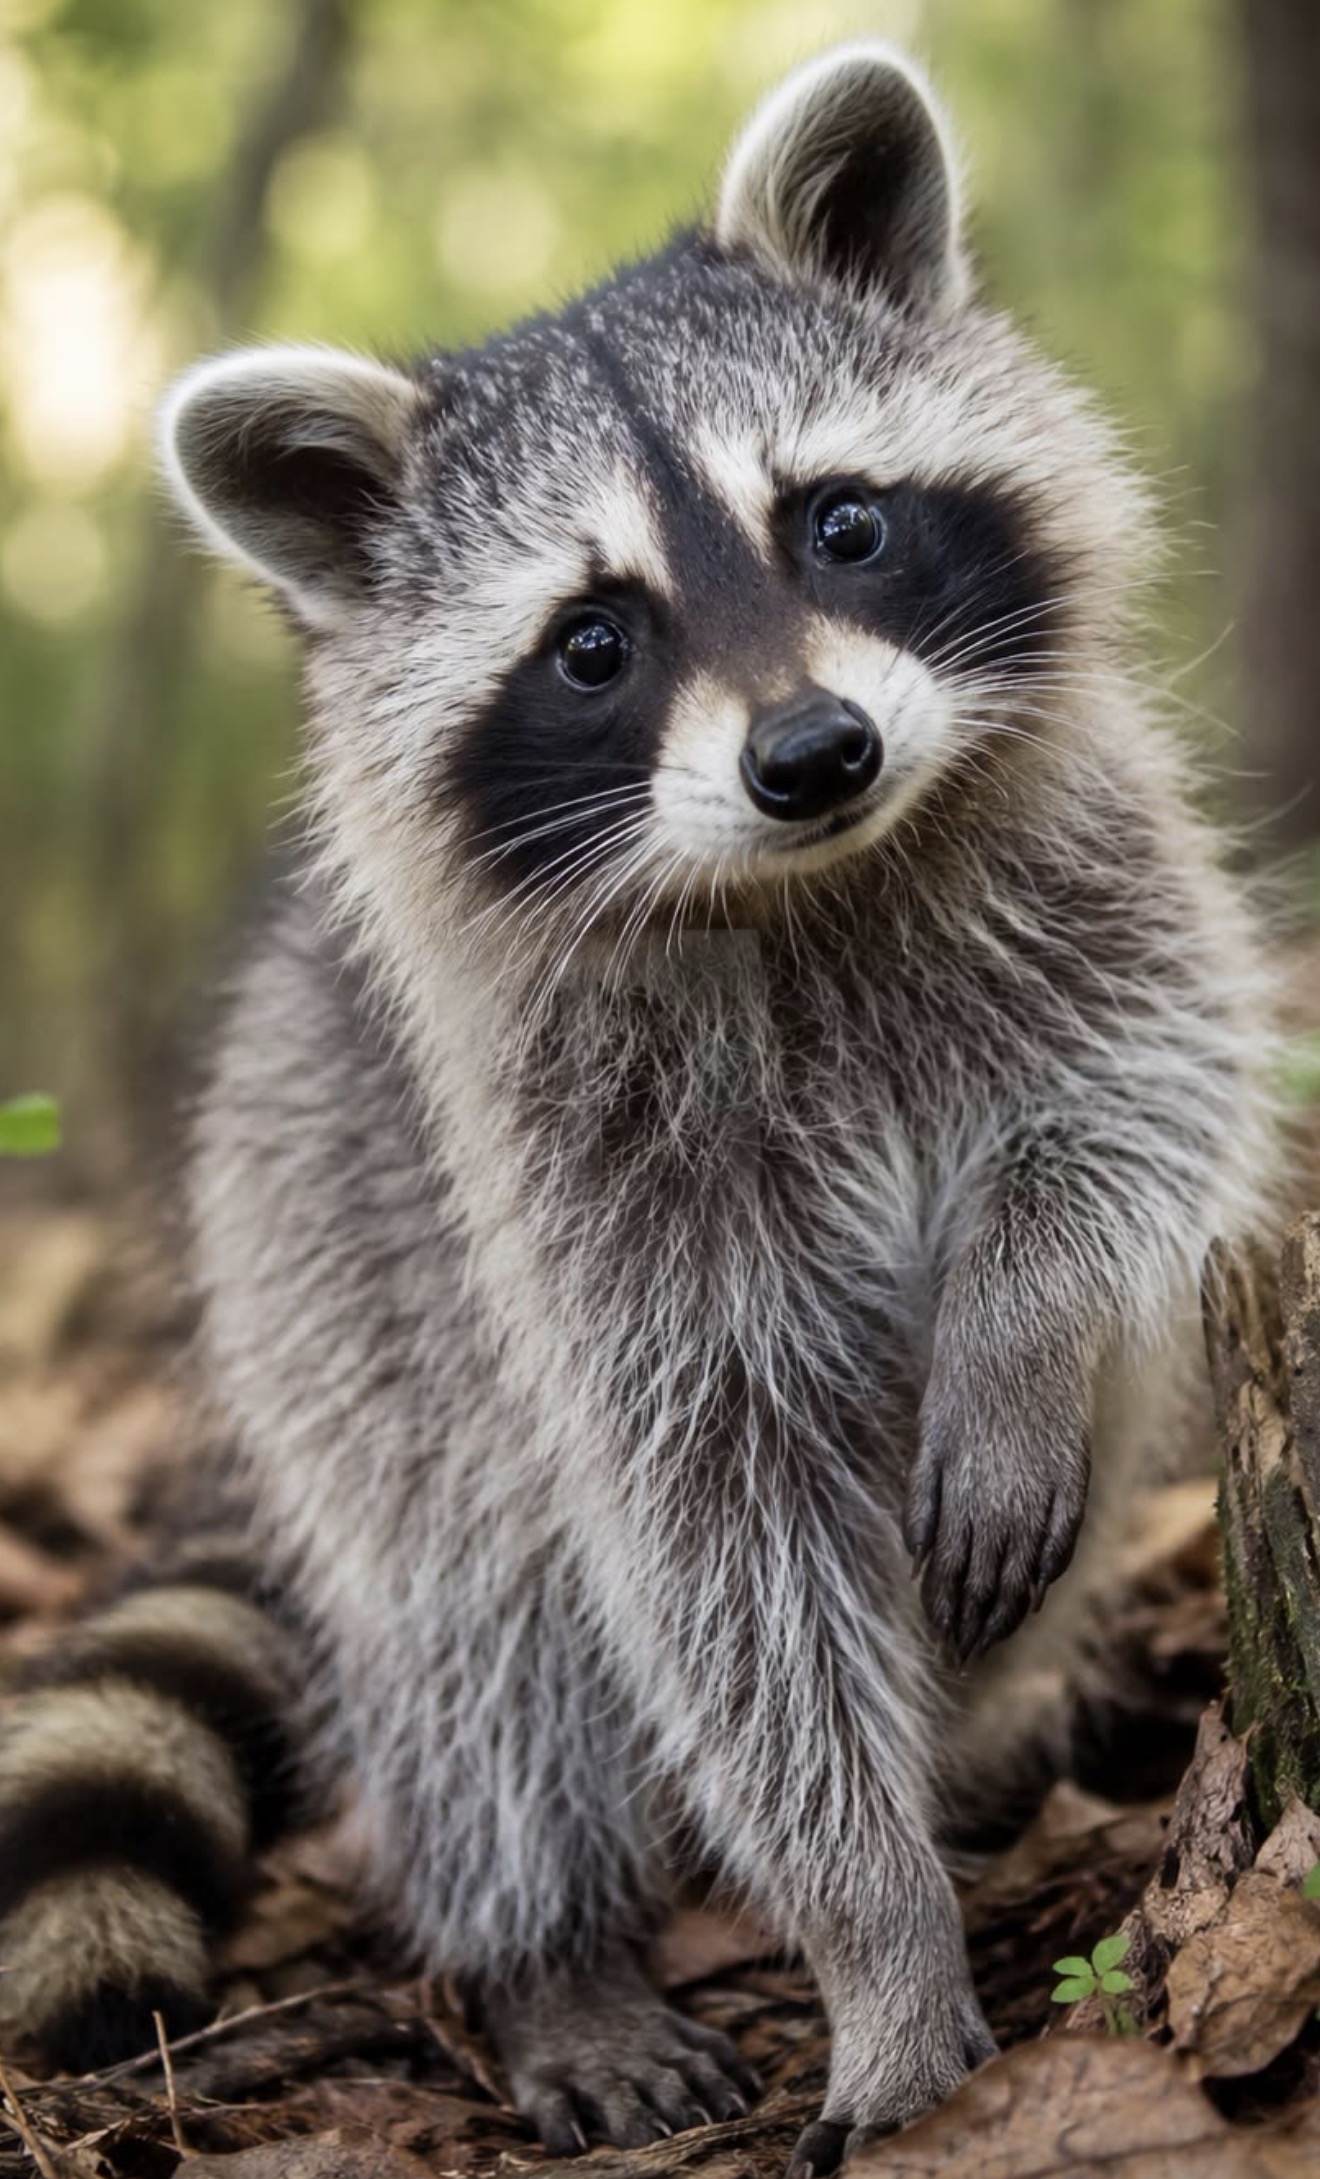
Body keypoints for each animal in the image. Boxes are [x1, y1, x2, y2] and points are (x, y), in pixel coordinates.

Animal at [0, 43, 1276, 2173]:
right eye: (592, 640)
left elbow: (1145, 1107)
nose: (815, 751)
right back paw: (552, 1939)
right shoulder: (577, 1184)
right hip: (328, 1257)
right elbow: (718, 1552)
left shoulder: (1100, 877)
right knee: (477, 1622)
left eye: (840, 525)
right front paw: (877, 1946)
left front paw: (1018, 1313)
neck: (810, 879)